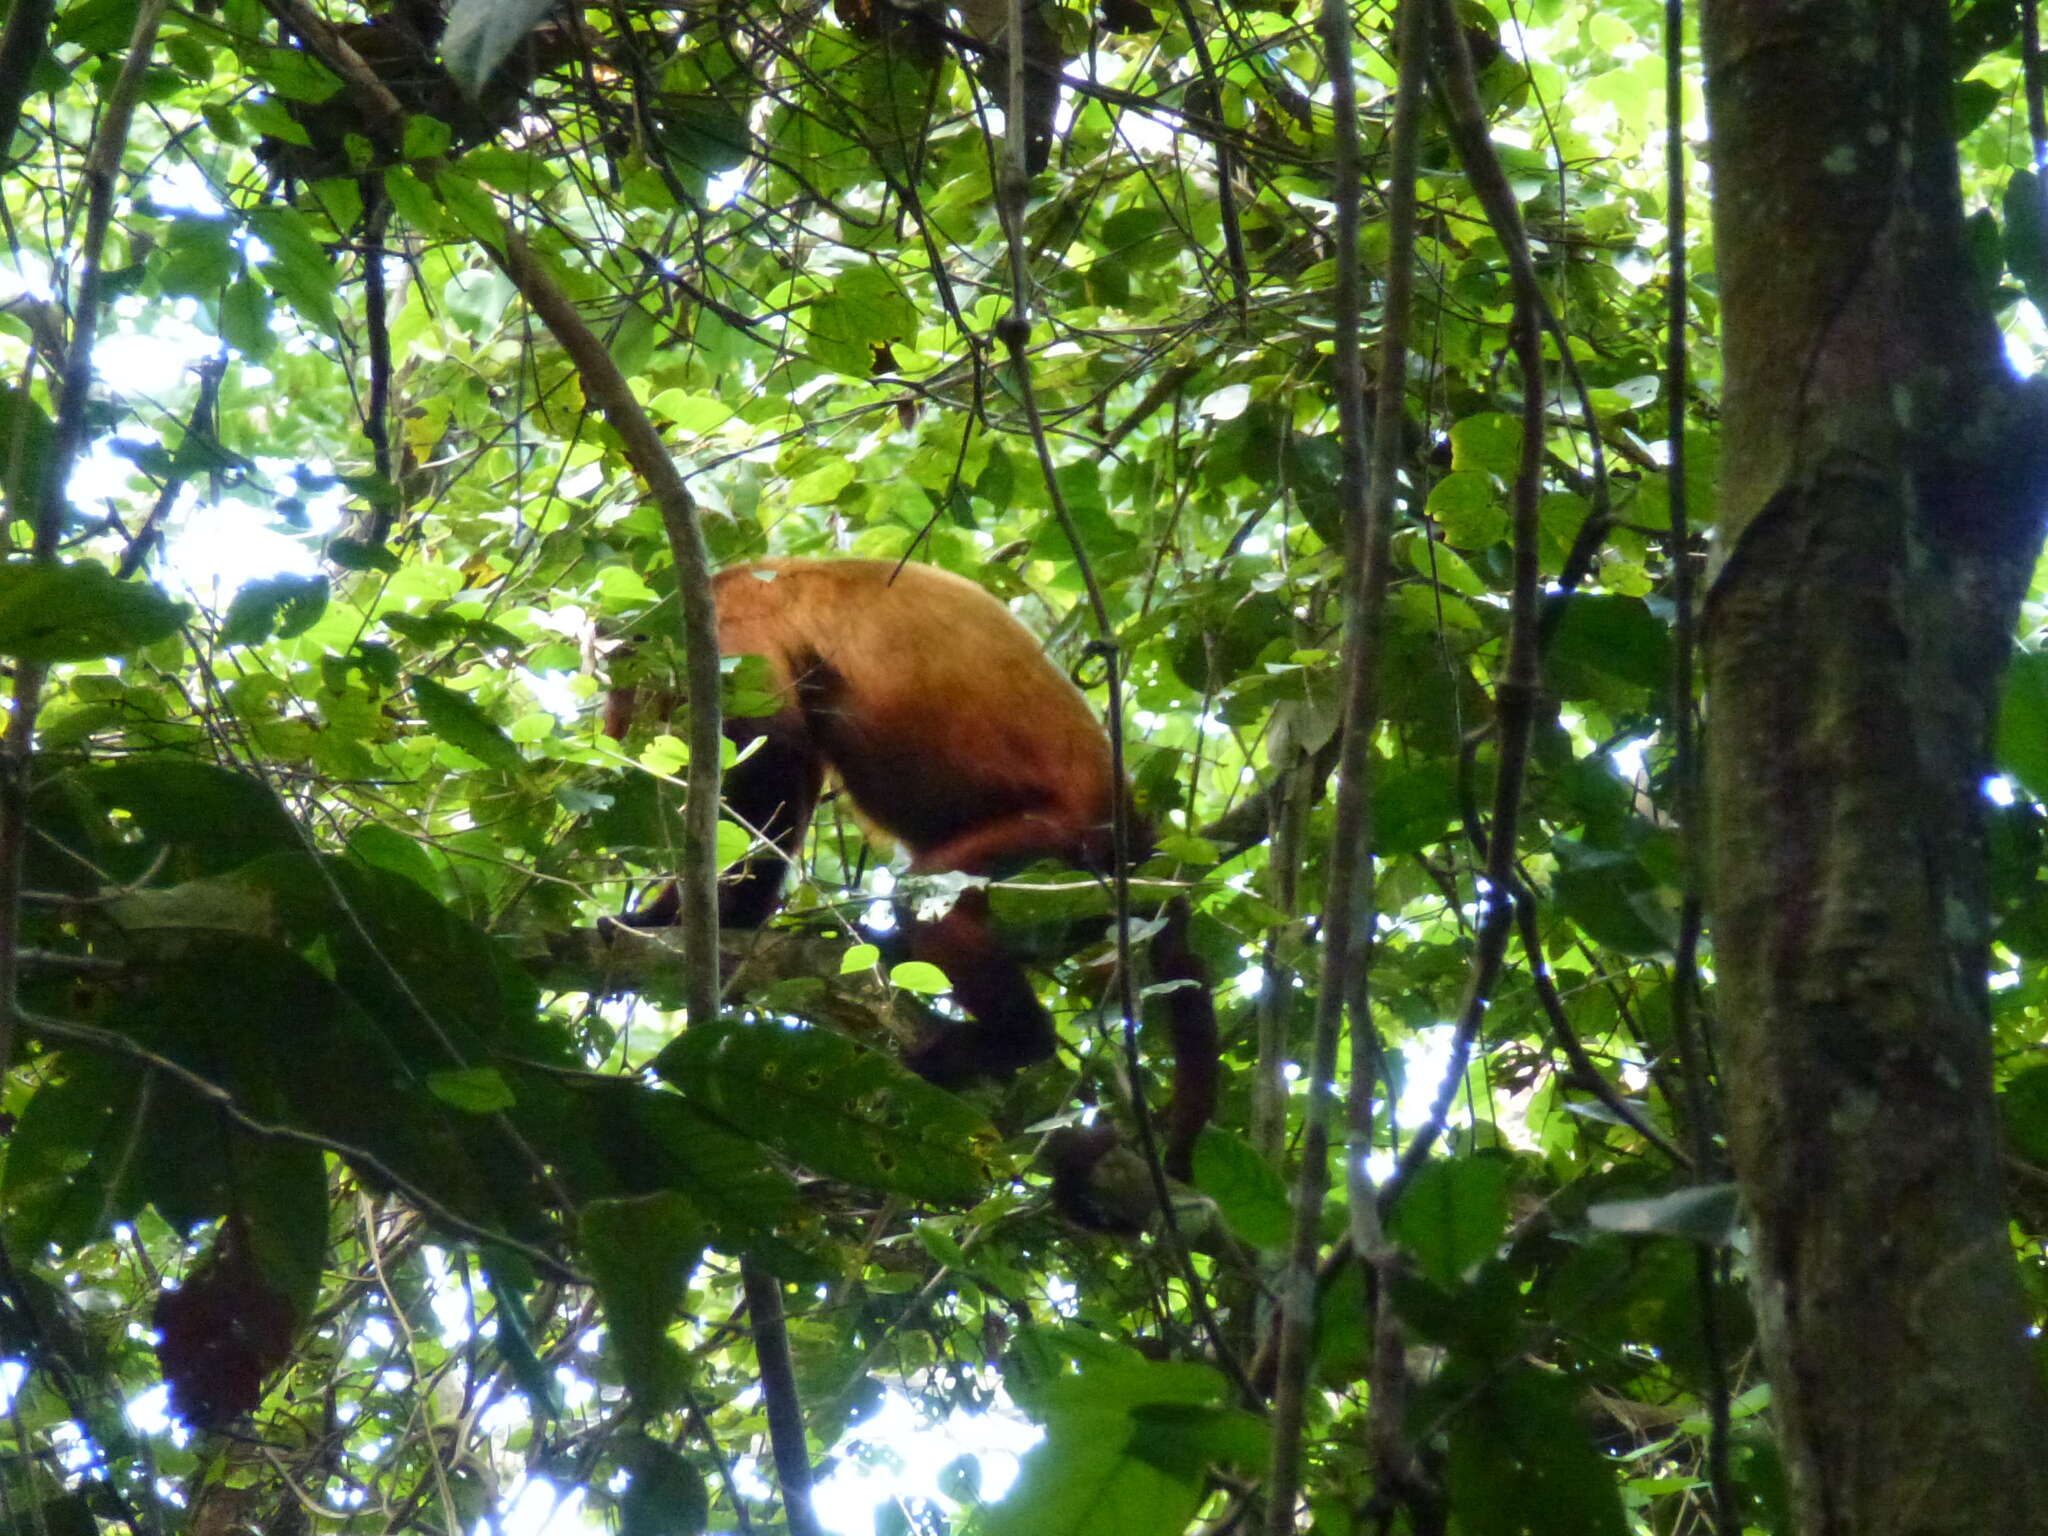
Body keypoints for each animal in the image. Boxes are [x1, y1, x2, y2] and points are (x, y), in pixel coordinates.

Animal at [606, 561, 1212, 1220]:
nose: (627, 748)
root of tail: (1130, 814)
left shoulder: (733, 626)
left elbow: (777, 757)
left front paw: (686, 918)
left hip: (1061, 844)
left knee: (928, 901)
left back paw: (1015, 1040)